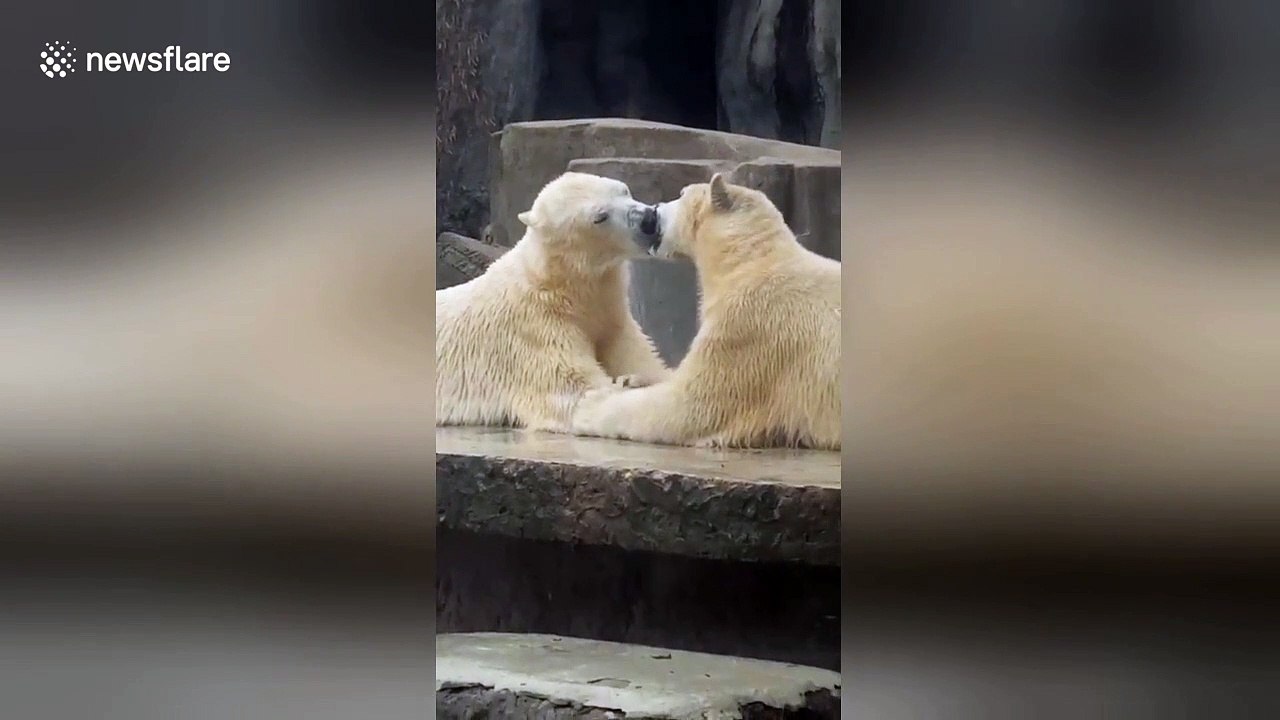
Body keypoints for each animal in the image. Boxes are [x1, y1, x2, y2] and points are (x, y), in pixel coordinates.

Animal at [435, 171, 672, 432]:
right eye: (600, 216)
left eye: (624, 190)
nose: (648, 219)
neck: (560, 287)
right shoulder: (535, 331)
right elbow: (578, 393)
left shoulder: (613, 317)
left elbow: (645, 361)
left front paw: (636, 378)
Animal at [570, 173, 841, 450]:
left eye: (681, 193)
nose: (653, 211)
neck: (748, 260)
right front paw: (631, 380)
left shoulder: (750, 330)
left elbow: (690, 407)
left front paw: (589, 406)